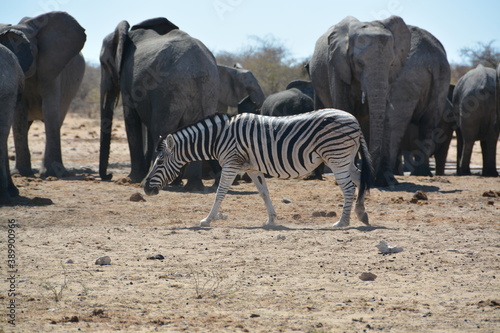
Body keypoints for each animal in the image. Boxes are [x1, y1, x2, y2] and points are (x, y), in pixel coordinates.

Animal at [0, 11, 86, 176]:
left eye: (27, 49)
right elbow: (19, 114)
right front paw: (21, 174)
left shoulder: (52, 69)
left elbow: (50, 110)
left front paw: (52, 173)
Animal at [98, 18, 220, 189]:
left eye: (104, 63)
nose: (109, 175)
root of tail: (197, 67)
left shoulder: (128, 79)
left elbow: (131, 118)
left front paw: (130, 180)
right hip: (208, 91)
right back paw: (193, 186)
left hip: (168, 92)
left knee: (160, 129)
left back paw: (149, 183)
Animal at [143, 109, 374, 228]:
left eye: (160, 162)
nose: (145, 189)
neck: (219, 137)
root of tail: (354, 119)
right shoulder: (252, 168)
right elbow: (264, 193)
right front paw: (271, 219)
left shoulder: (231, 163)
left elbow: (220, 193)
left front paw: (207, 219)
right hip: (346, 158)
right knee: (360, 179)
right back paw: (361, 214)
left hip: (336, 157)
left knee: (348, 188)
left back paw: (342, 222)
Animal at [310, 16, 452, 187]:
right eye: (359, 63)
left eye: (391, 63)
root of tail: (434, 59)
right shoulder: (337, 67)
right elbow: (346, 110)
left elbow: (385, 117)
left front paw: (380, 180)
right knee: (424, 123)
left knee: (414, 123)